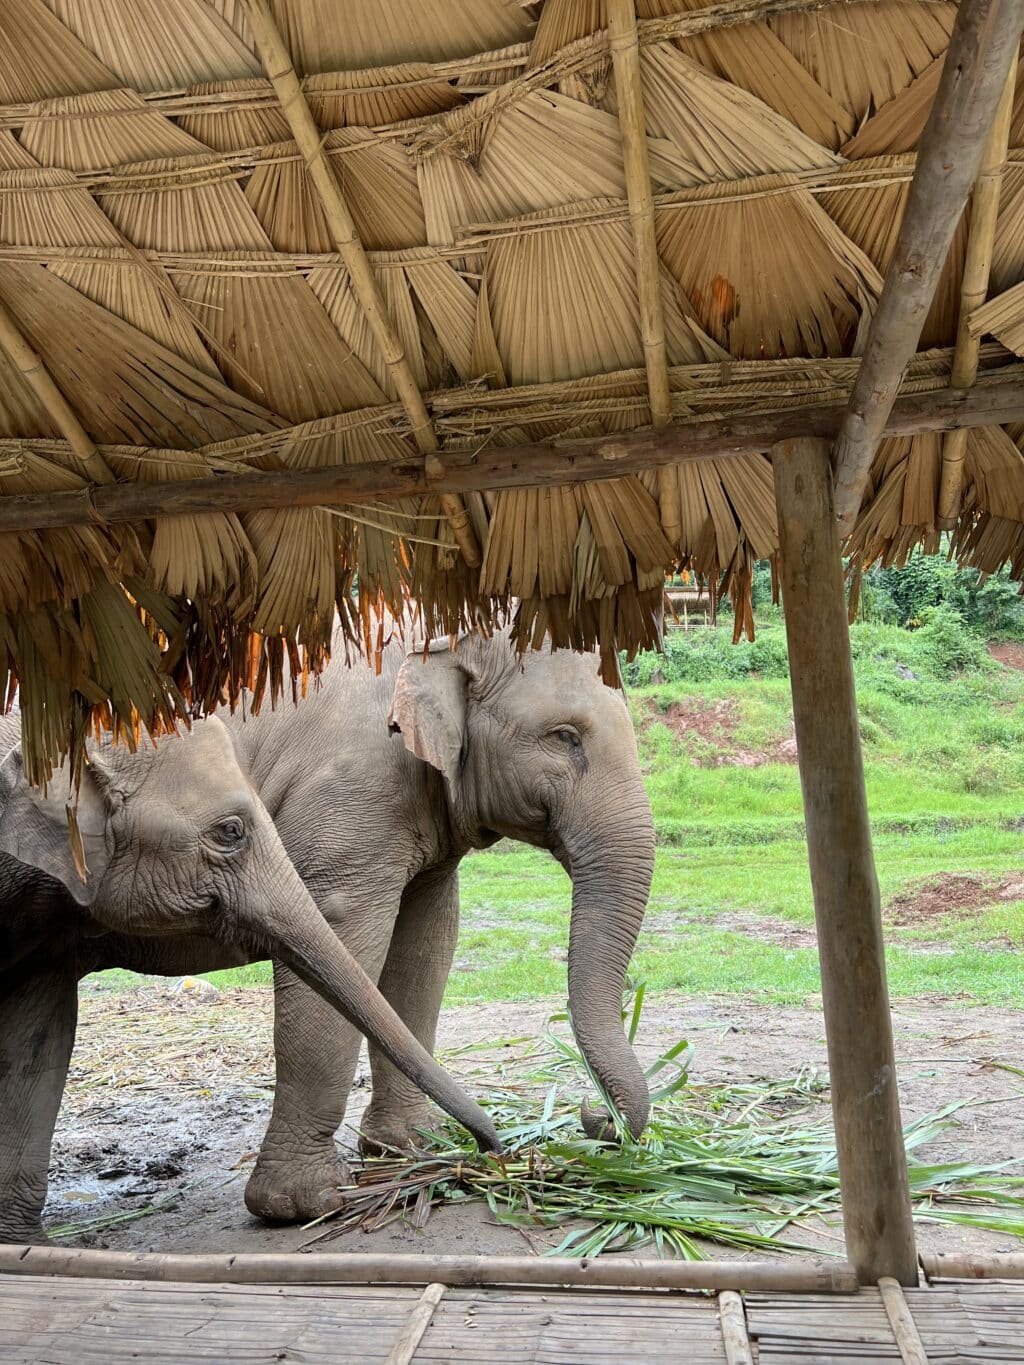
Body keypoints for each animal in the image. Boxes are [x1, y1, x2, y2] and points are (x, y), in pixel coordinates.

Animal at [223, 627, 658, 1228]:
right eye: (565, 736)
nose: (594, 1118)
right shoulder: (350, 798)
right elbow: (339, 934)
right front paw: (302, 1205)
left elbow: (424, 945)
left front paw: (412, 1147)